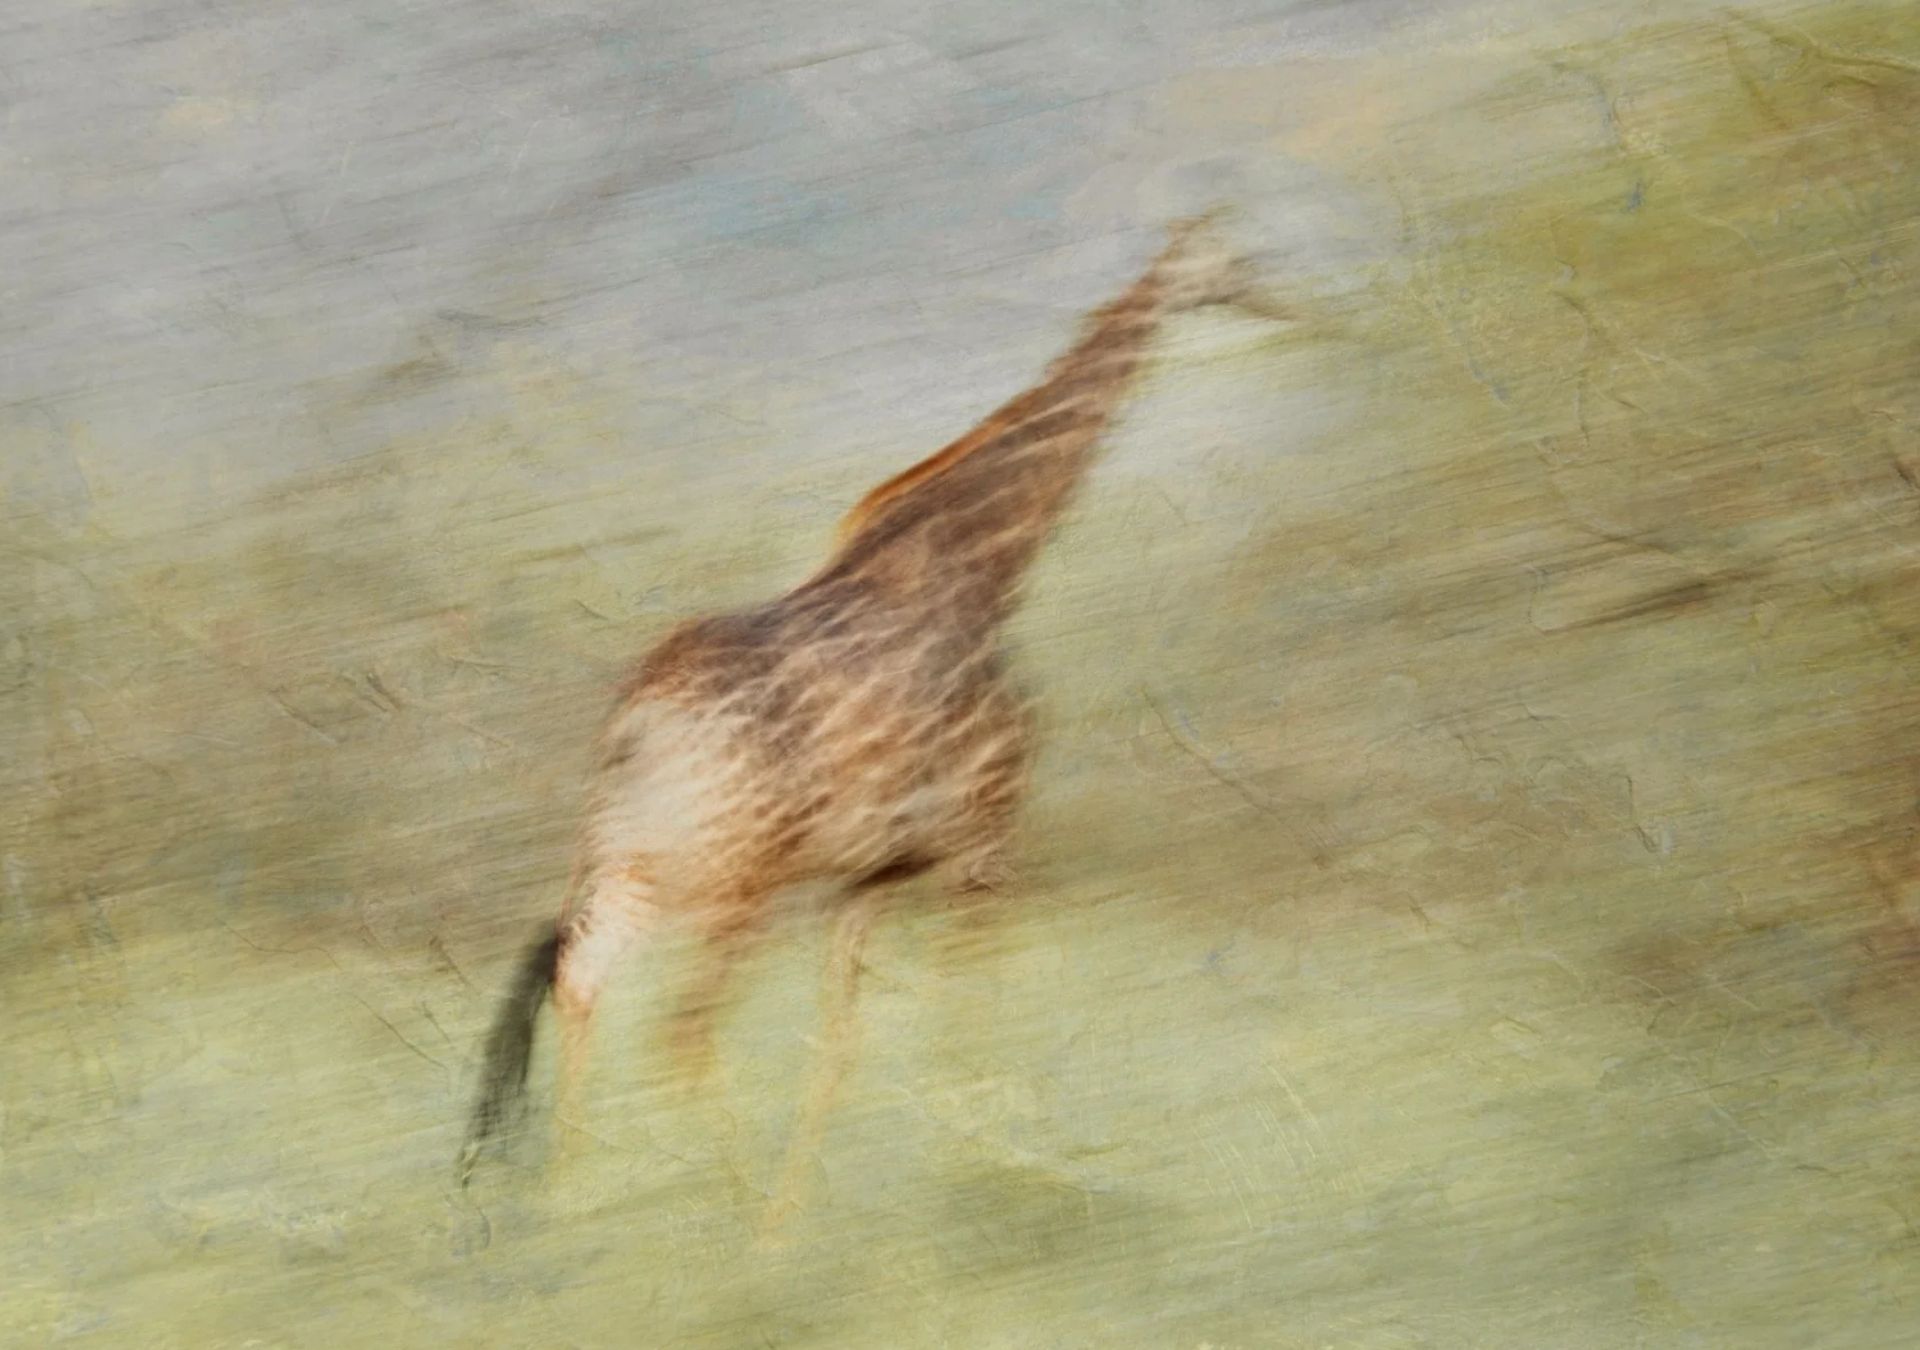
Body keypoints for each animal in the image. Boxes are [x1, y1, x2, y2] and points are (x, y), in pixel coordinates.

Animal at [457, 209, 1288, 1224]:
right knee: (680, 1030)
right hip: (737, 882)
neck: (980, 571)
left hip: (636, 864)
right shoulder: (985, 846)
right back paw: (727, 1219)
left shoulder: (872, 877)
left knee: (580, 984)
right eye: (1236, 257)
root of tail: (635, 722)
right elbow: (970, 1010)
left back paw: (569, 1211)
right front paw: (963, 1187)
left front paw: (810, 1209)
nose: (1284, 297)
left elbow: (841, 1040)